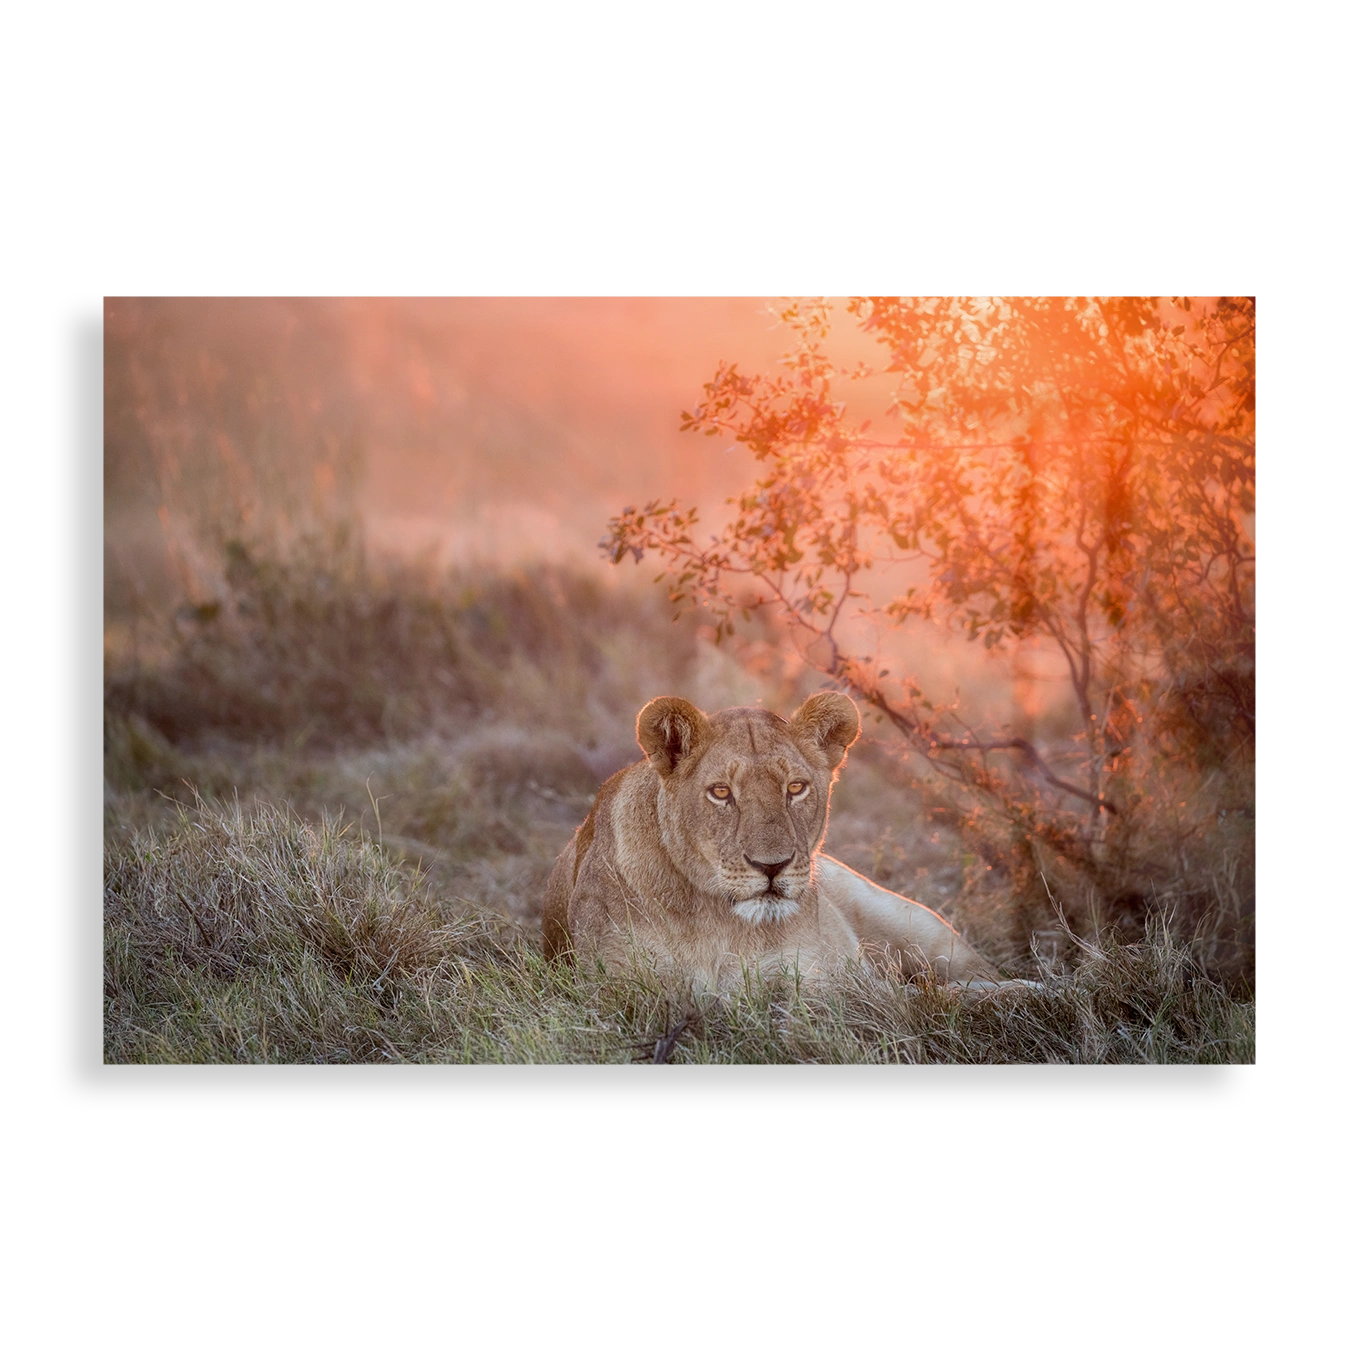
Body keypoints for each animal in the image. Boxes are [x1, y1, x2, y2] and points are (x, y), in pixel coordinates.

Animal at [542, 692, 1016, 995]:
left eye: (796, 787)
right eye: (721, 792)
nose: (771, 866)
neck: (721, 922)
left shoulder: (825, 981)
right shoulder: (619, 986)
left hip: (913, 924)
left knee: (979, 977)